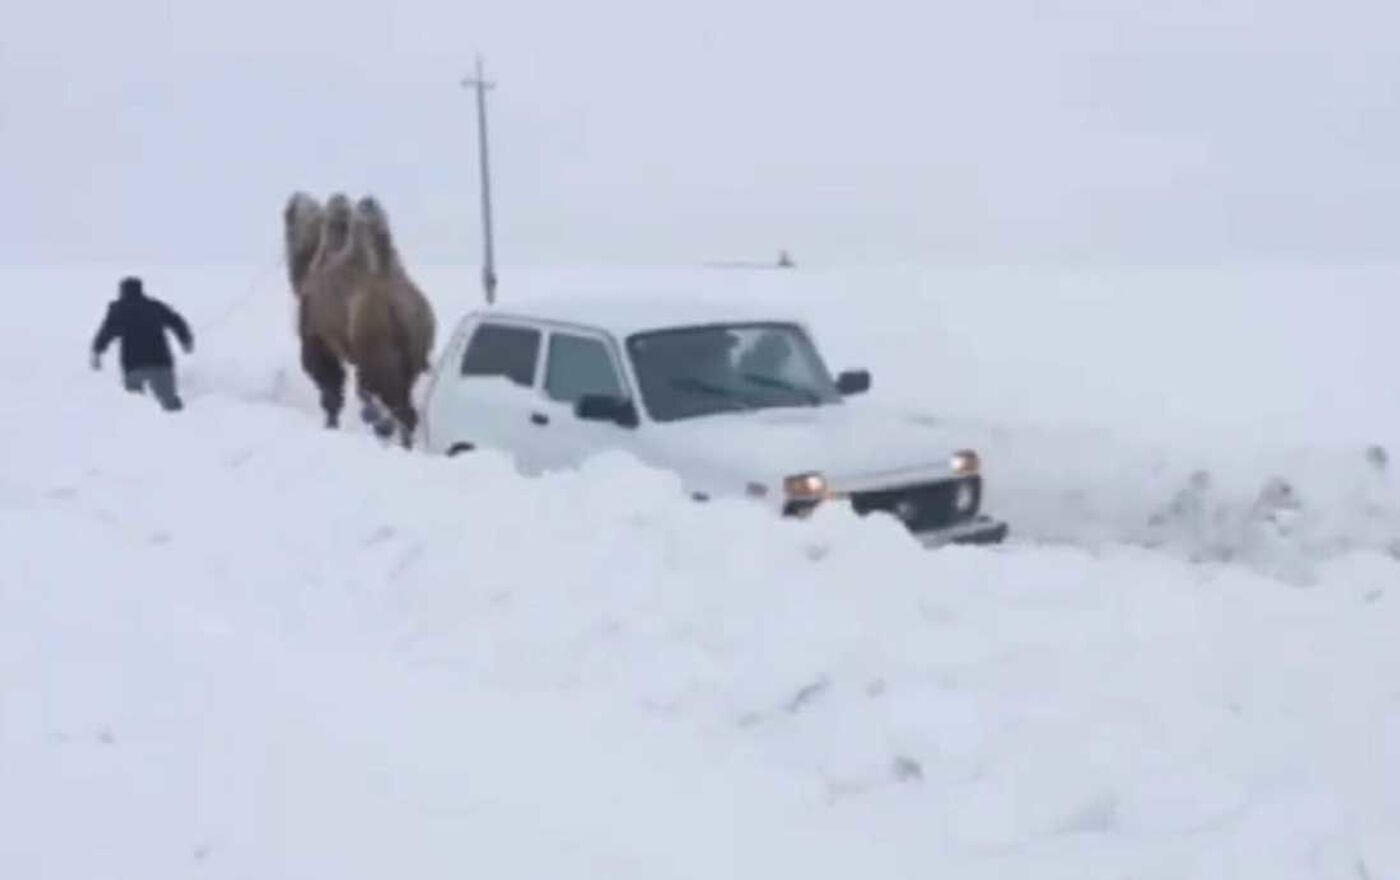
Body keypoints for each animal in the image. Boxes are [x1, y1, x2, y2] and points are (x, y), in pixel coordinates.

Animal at [280, 187, 436, 442]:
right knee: (403, 409)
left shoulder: (314, 336)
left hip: (377, 350)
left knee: (383, 402)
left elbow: (329, 387)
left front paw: (331, 424)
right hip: (412, 357)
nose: (295, 195)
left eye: (288, 214)